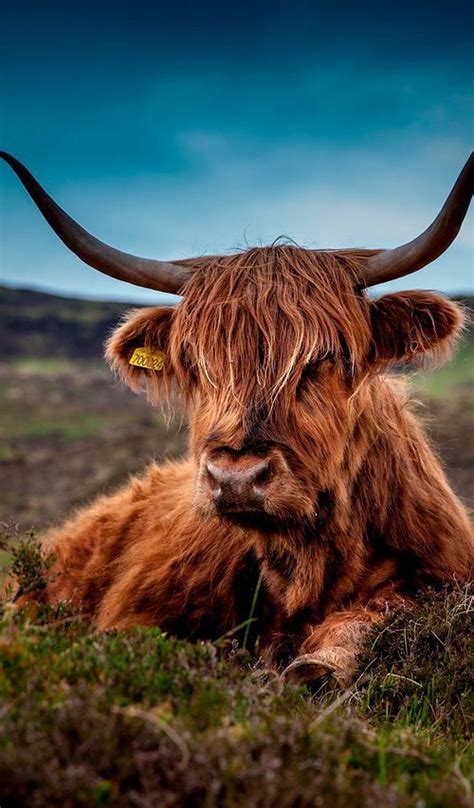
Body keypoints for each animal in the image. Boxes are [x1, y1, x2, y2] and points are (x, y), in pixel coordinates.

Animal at [1, 150, 472, 680]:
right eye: (196, 362)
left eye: (324, 357)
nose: (236, 478)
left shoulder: (441, 577)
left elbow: (378, 613)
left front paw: (317, 665)